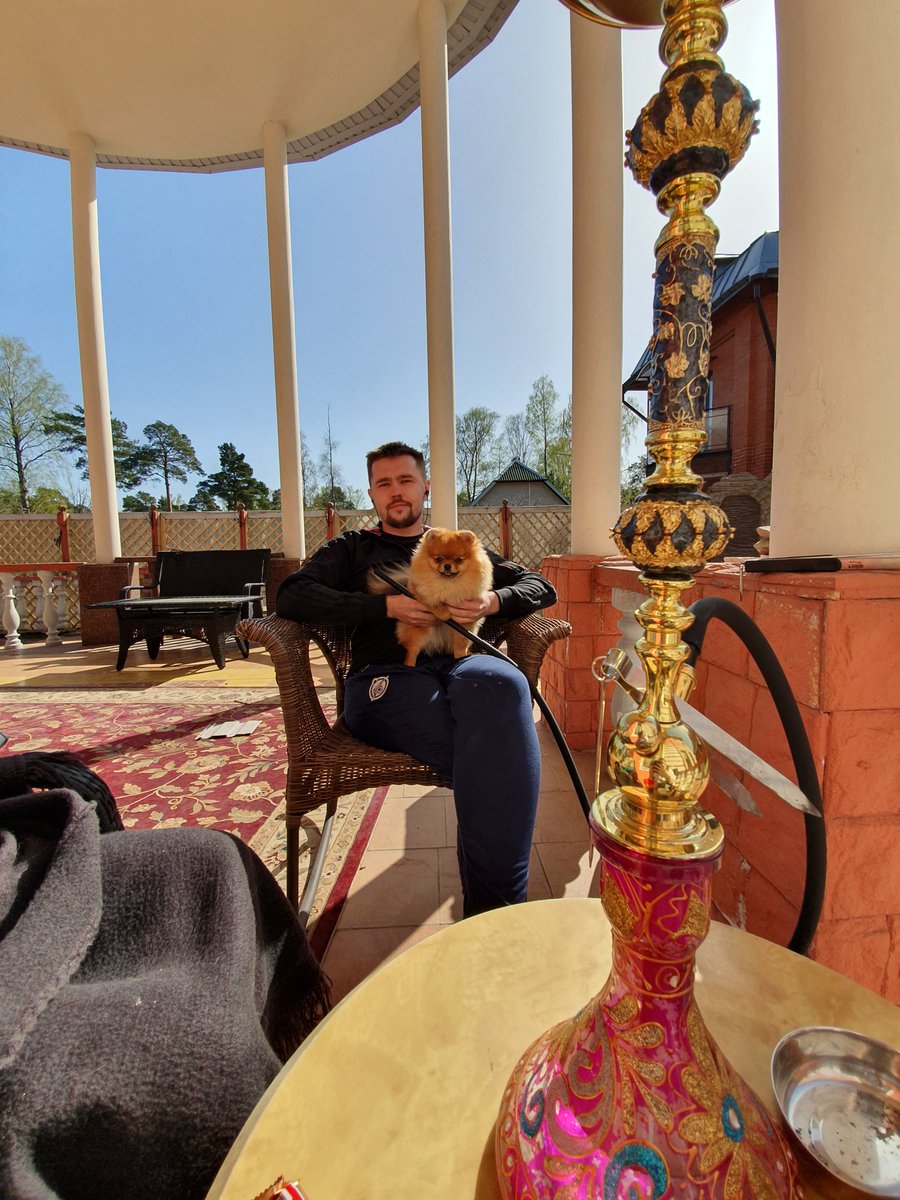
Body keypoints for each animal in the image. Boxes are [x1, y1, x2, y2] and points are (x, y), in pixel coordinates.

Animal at [370, 527, 493, 666]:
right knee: (412, 651)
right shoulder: (419, 591)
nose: (447, 565)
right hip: (417, 632)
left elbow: (460, 647)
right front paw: (444, 612)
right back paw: (410, 665)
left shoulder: (466, 624)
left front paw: (462, 658)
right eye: (438, 559)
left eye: (458, 560)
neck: (447, 584)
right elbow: (432, 602)